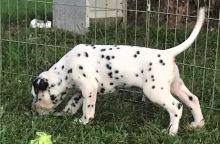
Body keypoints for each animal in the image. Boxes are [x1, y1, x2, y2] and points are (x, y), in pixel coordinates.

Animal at [31, 7, 205, 135]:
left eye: (36, 96)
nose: (34, 111)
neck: (66, 67)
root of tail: (167, 53)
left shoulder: (89, 88)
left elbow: (88, 108)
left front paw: (84, 122)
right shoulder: (82, 90)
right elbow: (72, 104)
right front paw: (66, 114)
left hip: (154, 90)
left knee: (176, 107)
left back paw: (171, 132)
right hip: (176, 86)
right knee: (193, 100)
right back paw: (198, 124)